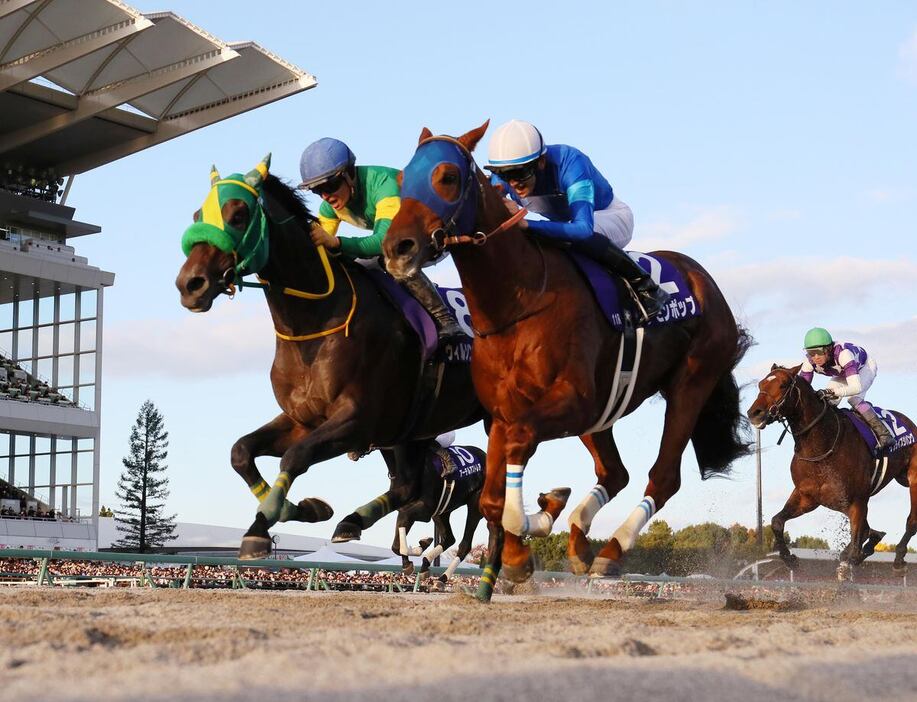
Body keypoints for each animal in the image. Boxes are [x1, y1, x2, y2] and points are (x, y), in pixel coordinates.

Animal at [174, 160, 484, 560]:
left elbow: (295, 457)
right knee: (406, 488)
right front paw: (301, 510)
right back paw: (352, 522)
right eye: (198, 215)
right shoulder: (302, 419)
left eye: (238, 214)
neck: (315, 324)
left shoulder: (356, 420)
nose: (190, 284)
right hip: (410, 431)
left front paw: (264, 525)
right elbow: (241, 452)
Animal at [380, 124, 752, 604]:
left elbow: (517, 456)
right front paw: (526, 543)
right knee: (614, 471)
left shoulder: (567, 402)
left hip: (690, 383)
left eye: (446, 176)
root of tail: (704, 281)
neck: (517, 303)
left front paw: (532, 526)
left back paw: (611, 552)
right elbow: (491, 497)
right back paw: (578, 539)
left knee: (664, 475)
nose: (397, 248)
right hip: (603, 411)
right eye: (403, 179)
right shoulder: (503, 413)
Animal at [744, 368, 916, 576]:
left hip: (913, 480)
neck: (821, 447)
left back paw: (898, 558)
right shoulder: (807, 496)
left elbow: (857, 542)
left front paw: (848, 564)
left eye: (783, 385)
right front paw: (790, 559)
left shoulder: (857, 501)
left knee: (911, 521)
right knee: (870, 531)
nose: (754, 413)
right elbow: (777, 521)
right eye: (761, 384)